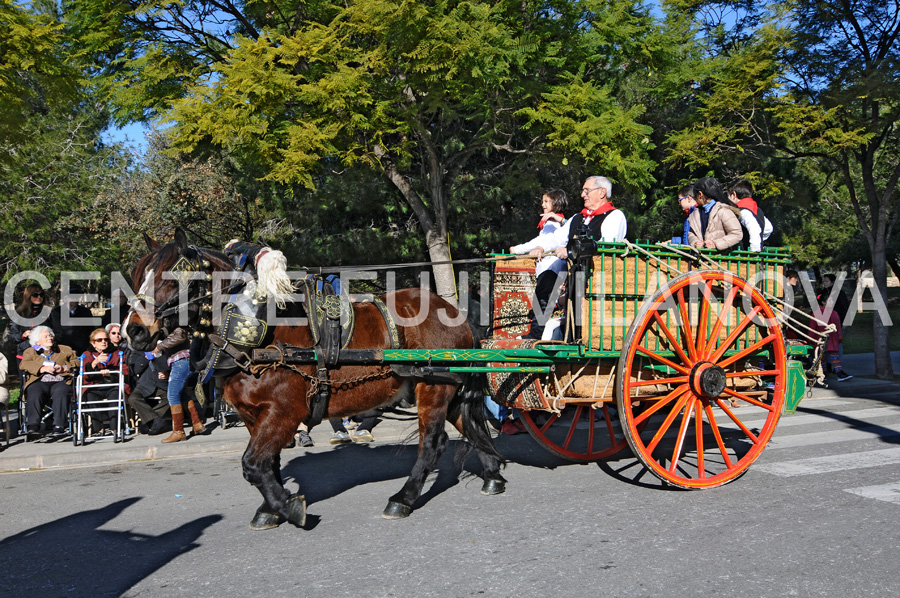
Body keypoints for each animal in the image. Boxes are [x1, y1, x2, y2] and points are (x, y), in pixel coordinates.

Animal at [123, 232, 506, 532]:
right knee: (472, 426)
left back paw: (403, 498)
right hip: (445, 386)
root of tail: (457, 314)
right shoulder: (252, 415)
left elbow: (252, 464)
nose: (134, 331)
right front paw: (271, 508)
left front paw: (288, 506)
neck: (254, 329)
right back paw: (493, 477)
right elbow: (267, 463)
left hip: (434, 389)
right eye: (139, 275)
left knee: (433, 443)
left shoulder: (284, 411)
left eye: (171, 277)